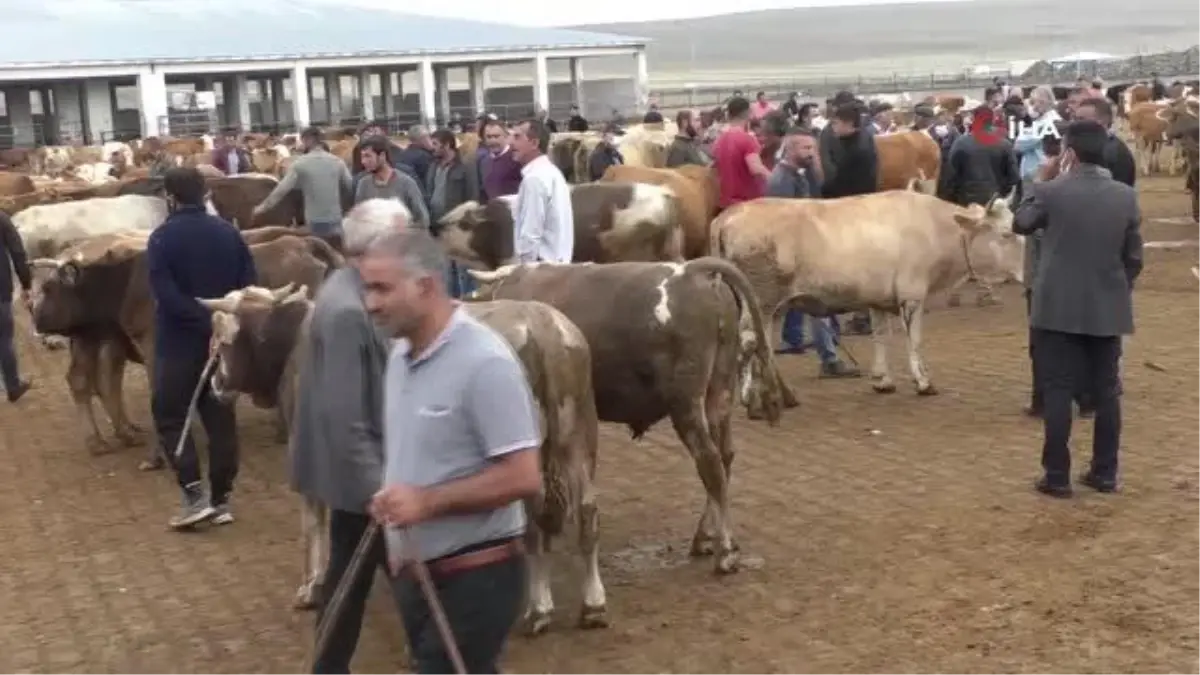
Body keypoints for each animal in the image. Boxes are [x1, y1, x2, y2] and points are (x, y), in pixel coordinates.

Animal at [28, 230, 345, 461]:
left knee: (94, 381)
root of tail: (302, 243)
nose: (34, 315)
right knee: (90, 381)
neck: (128, 279)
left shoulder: (154, 350)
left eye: (48, 288)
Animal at [463, 254, 782, 569]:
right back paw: (706, 537)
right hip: (719, 393)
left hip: (686, 404)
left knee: (711, 463)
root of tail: (694, 270)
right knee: (725, 457)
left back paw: (725, 549)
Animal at [705, 189, 1017, 396]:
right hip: (760, 299)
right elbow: (914, 341)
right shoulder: (912, 296)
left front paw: (882, 379)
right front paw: (923, 381)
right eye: (1006, 234)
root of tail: (729, 215)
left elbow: (880, 336)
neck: (934, 226)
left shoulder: (878, 299)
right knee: (750, 340)